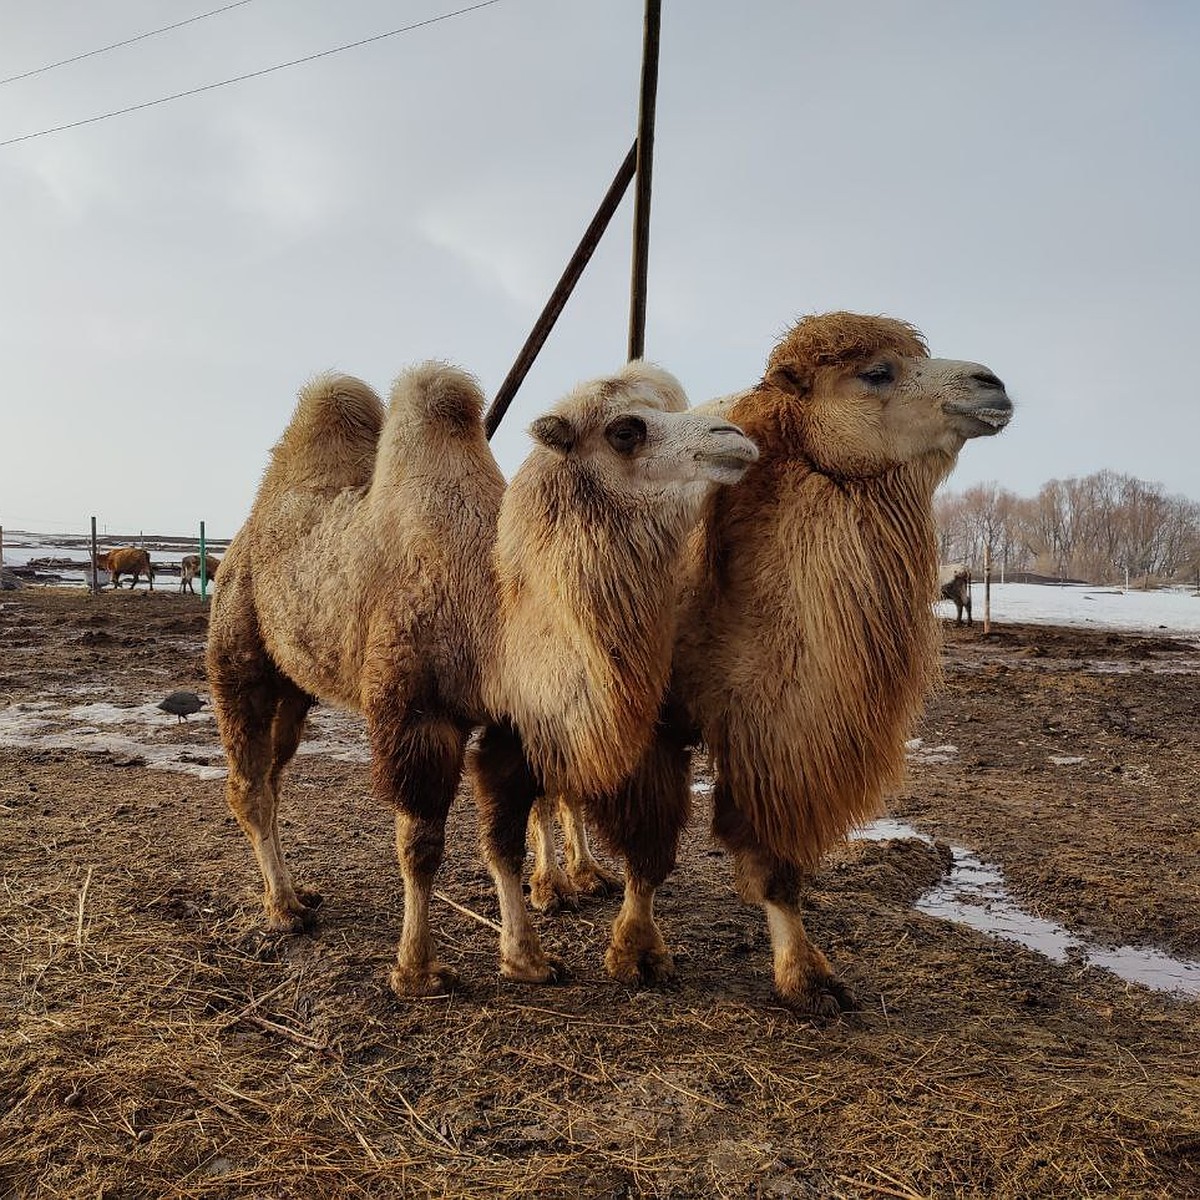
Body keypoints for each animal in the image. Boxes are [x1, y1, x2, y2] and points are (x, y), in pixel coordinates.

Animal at [204, 360, 748, 998]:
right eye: (626, 430)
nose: (736, 437)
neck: (491, 612)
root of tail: (238, 542)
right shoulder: (417, 715)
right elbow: (420, 846)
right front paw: (417, 970)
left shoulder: (512, 723)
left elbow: (503, 839)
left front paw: (526, 958)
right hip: (239, 655)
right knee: (249, 783)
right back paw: (285, 909)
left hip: (296, 687)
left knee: (273, 772)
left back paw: (294, 891)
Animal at [535, 312, 1012, 1012]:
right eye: (877, 372)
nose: (992, 384)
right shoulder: (652, 719)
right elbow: (649, 852)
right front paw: (636, 952)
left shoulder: (774, 730)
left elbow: (776, 864)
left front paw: (807, 976)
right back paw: (552, 885)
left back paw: (585, 872)